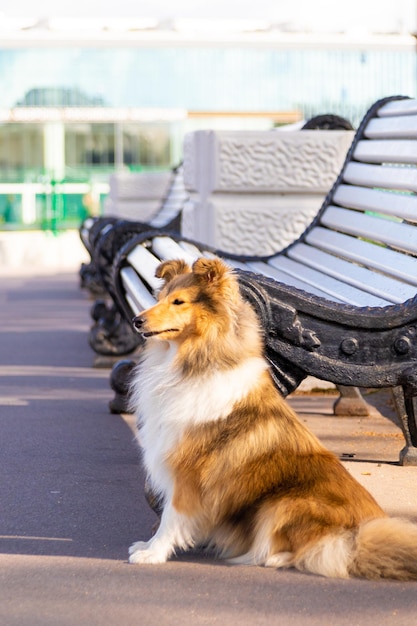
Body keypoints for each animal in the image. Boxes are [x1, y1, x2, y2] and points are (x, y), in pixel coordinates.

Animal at [127, 256, 416, 576]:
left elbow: (171, 516)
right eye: (160, 299)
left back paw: (272, 557)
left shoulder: (188, 472)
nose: (137, 320)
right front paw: (147, 546)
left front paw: (152, 553)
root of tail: (360, 536)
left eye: (179, 302)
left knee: (320, 549)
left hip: (284, 503)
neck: (193, 360)